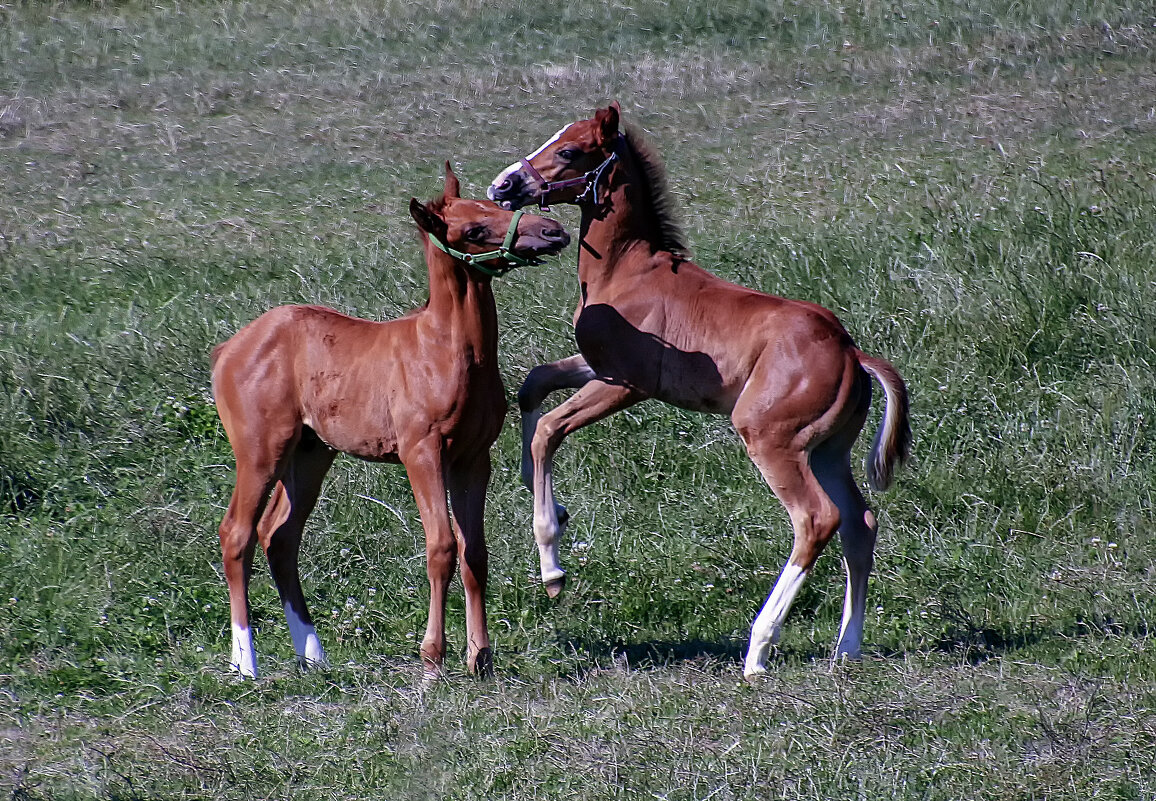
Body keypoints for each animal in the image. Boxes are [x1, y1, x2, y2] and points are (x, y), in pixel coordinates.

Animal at [211, 165, 568, 679]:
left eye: (495, 205)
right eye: (474, 230)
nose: (554, 231)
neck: (447, 353)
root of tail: (228, 349)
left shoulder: (473, 459)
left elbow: (475, 553)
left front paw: (479, 657)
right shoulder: (422, 453)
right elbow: (441, 548)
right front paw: (433, 657)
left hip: (310, 453)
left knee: (279, 537)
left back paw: (313, 654)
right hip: (261, 451)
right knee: (236, 534)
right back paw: (246, 662)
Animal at [487, 99, 910, 675]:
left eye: (570, 150)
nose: (503, 184)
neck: (628, 270)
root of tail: (850, 351)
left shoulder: (627, 384)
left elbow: (549, 428)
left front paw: (552, 564)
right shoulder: (595, 366)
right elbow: (533, 387)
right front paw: (547, 499)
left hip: (771, 440)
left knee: (818, 519)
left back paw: (759, 649)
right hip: (826, 449)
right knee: (859, 523)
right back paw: (846, 648)